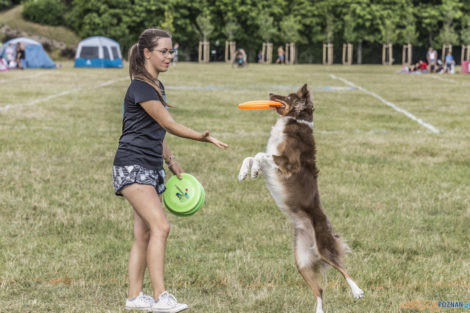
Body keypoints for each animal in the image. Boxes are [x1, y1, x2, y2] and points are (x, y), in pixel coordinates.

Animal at [239, 84, 364, 310]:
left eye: (288, 96)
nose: (270, 93)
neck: (295, 121)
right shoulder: (274, 162)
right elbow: (252, 156)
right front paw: (246, 172)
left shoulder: (289, 163)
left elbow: (260, 155)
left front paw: (252, 171)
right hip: (301, 261)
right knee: (320, 290)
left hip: (324, 247)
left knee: (342, 267)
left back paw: (357, 290)